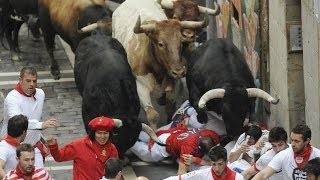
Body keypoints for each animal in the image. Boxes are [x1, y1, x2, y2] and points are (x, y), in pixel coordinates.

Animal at [112, 0, 206, 130]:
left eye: (180, 42)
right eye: (161, 44)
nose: (179, 72)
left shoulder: (172, 84)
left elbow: (170, 108)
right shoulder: (140, 86)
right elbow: (153, 115)